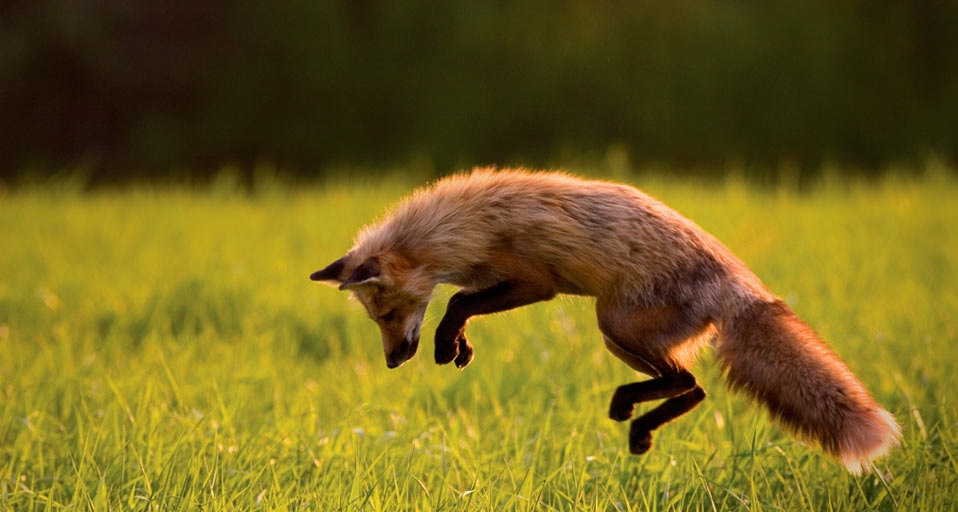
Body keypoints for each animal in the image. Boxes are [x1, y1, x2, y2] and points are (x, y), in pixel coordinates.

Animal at [309, 168, 900, 474]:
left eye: (388, 314)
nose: (393, 361)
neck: (460, 227)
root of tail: (742, 285)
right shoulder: (500, 282)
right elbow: (459, 304)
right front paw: (459, 348)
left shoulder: (534, 281)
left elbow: (456, 303)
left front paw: (447, 343)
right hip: (621, 337)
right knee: (695, 388)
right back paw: (638, 425)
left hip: (612, 323)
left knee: (689, 383)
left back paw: (631, 415)